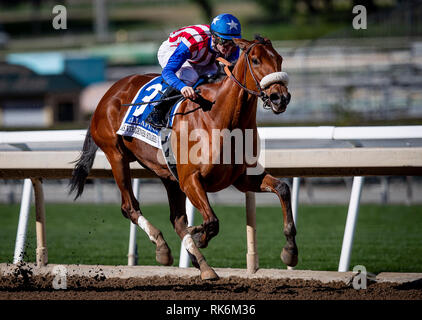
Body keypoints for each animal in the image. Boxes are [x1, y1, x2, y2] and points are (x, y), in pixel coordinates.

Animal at [70, 35, 296, 280]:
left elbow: (283, 188)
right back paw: (163, 247)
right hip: (116, 155)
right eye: (255, 60)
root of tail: (110, 91)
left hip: (168, 174)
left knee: (177, 220)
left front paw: (290, 251)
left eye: (280, 59)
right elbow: (212, 221)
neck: (217, 116)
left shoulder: (241, 177)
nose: (280, 98)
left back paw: (201, 264)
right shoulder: (190, 179)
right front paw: (199, 235)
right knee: (129, 206)